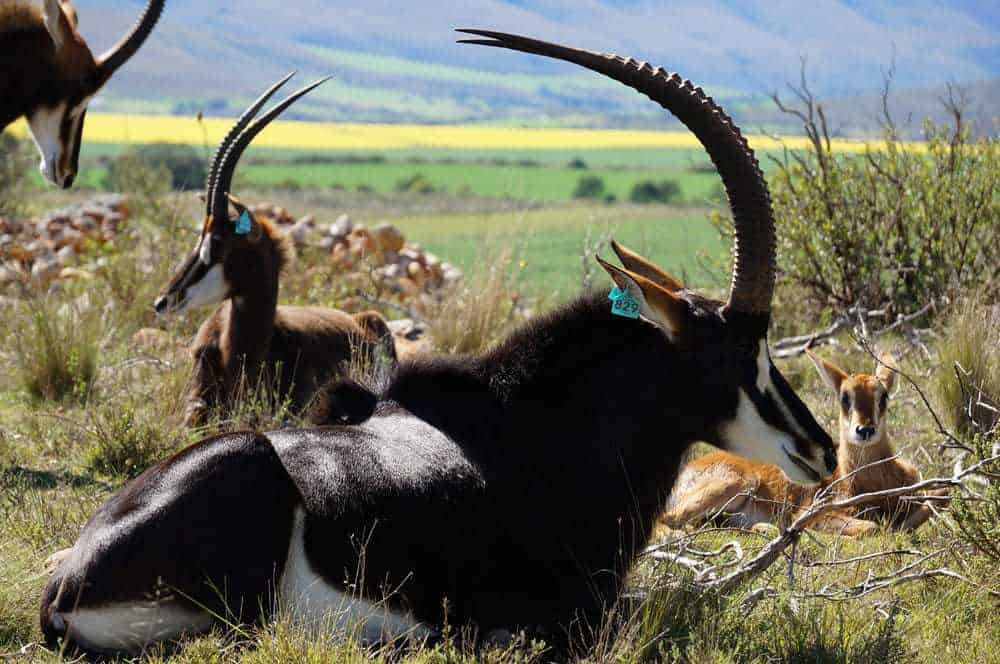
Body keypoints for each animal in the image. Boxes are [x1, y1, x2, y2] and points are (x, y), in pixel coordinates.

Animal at [664, 350, 944, 536]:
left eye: (883, 396)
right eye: (845, 397)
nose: (864, 430)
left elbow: (940, 498)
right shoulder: (817, 512)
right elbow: (871, 527)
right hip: (737, 483)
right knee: (669, 520)